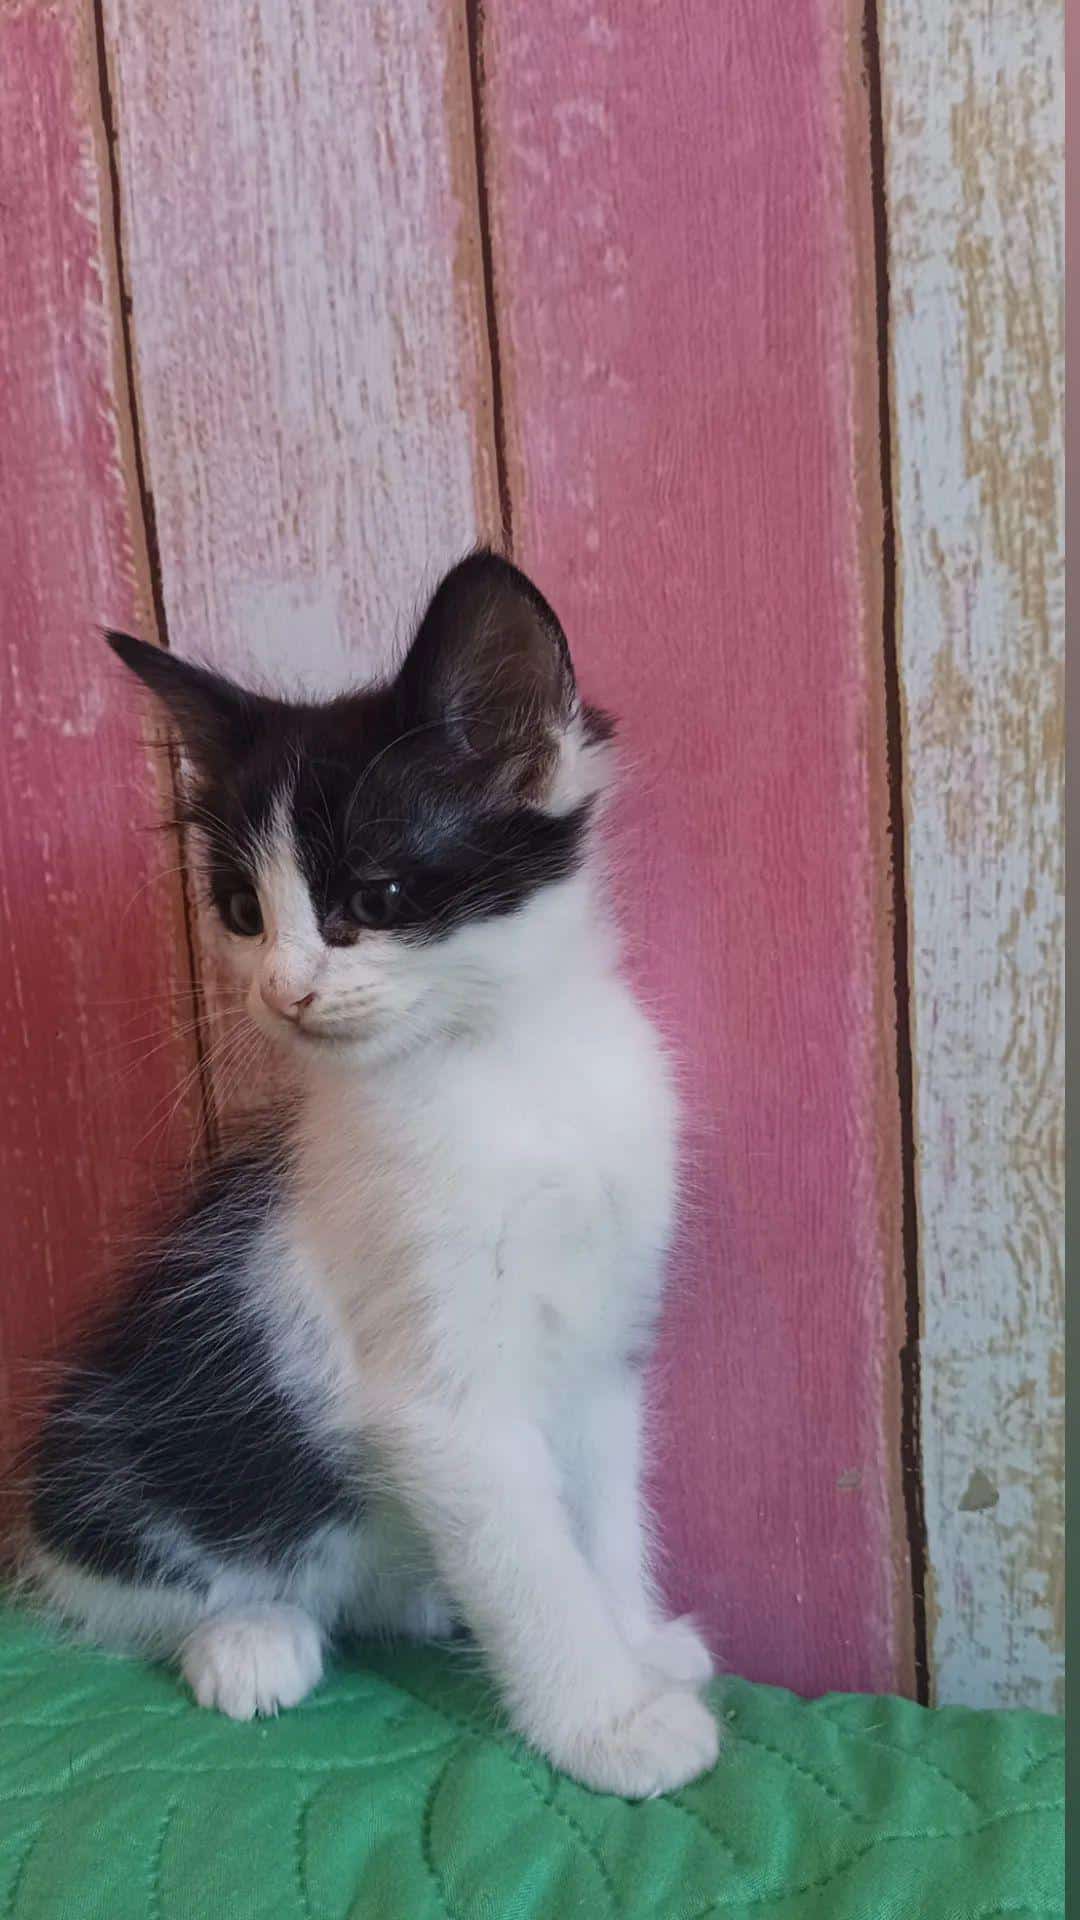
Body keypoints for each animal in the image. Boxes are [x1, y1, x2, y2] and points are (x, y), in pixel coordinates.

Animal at [25, 552, 714, 1797]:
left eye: (377, 902)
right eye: (242, 912)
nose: (281, 991)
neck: (511, 1072)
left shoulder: (606, 1338)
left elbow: (600, 1510)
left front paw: (636, 1643)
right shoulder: (438, 1399)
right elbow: (531, 1562)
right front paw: (608, 1720)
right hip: (119, 1454)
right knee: (107, 1580)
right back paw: (249, 1636)